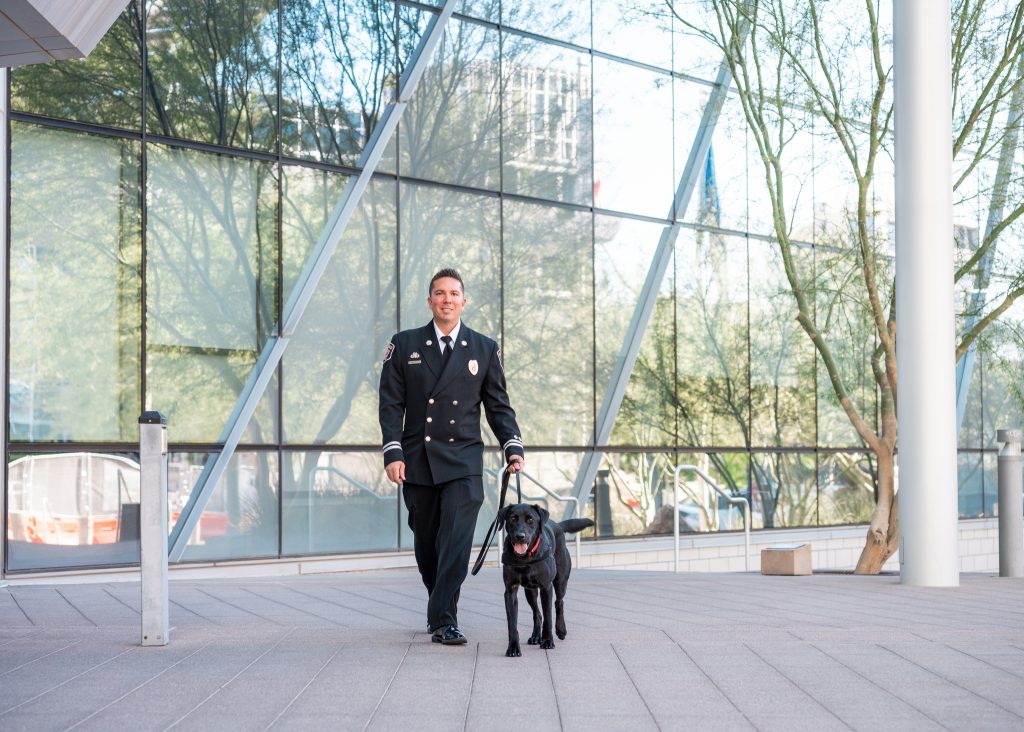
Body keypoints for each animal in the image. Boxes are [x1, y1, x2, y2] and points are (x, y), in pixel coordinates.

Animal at [501, 503, 598, 659]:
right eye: (513, 519)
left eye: (530, 519)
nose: (520, 536)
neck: (525, 558)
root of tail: (557, 525)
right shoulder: (510, 591)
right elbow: (512, 624)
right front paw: (513, 647)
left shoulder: (546, 587)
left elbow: (548, 617)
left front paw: (547, 641)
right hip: (530, 591)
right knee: (537, 613)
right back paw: (535, 636)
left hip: (560, 581)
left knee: (559, 603)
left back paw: (561, 630)